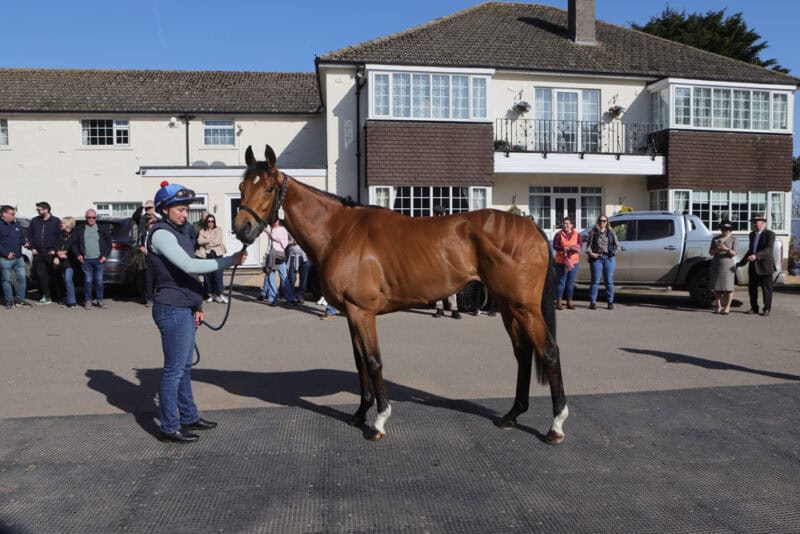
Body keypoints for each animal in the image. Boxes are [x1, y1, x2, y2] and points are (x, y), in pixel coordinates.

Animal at [234, 145, 568, 444]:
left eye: (268, 188)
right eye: (241, 187)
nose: (242, 230)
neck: (339, 232)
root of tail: (530, 226)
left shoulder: (362, 311)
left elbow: (373, 360)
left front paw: (379, 421)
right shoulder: (351, 313)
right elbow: (359, 361)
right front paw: (360, 414)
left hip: (525, 307)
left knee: (549, 351)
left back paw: (555, 426)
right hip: (509, 306)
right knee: (523, 354)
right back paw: (512, 415)